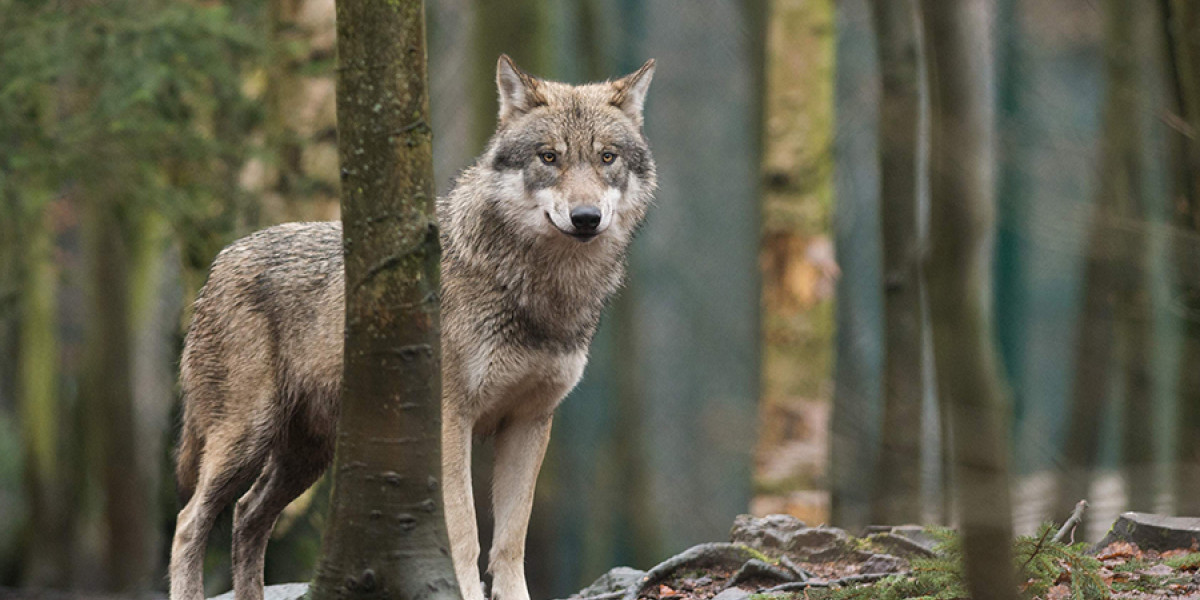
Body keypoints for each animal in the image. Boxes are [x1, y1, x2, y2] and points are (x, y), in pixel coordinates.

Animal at [168, 55, 656, 600]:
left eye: (608, 157)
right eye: (549, 157)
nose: (586, 217)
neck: (540, 291)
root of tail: (220, 261)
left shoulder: (530, 421)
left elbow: (510, 542)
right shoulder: (451, 420)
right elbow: (464, 532)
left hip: (306, 455)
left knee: (247, 515)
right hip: (247, 439)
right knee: (190, 520)